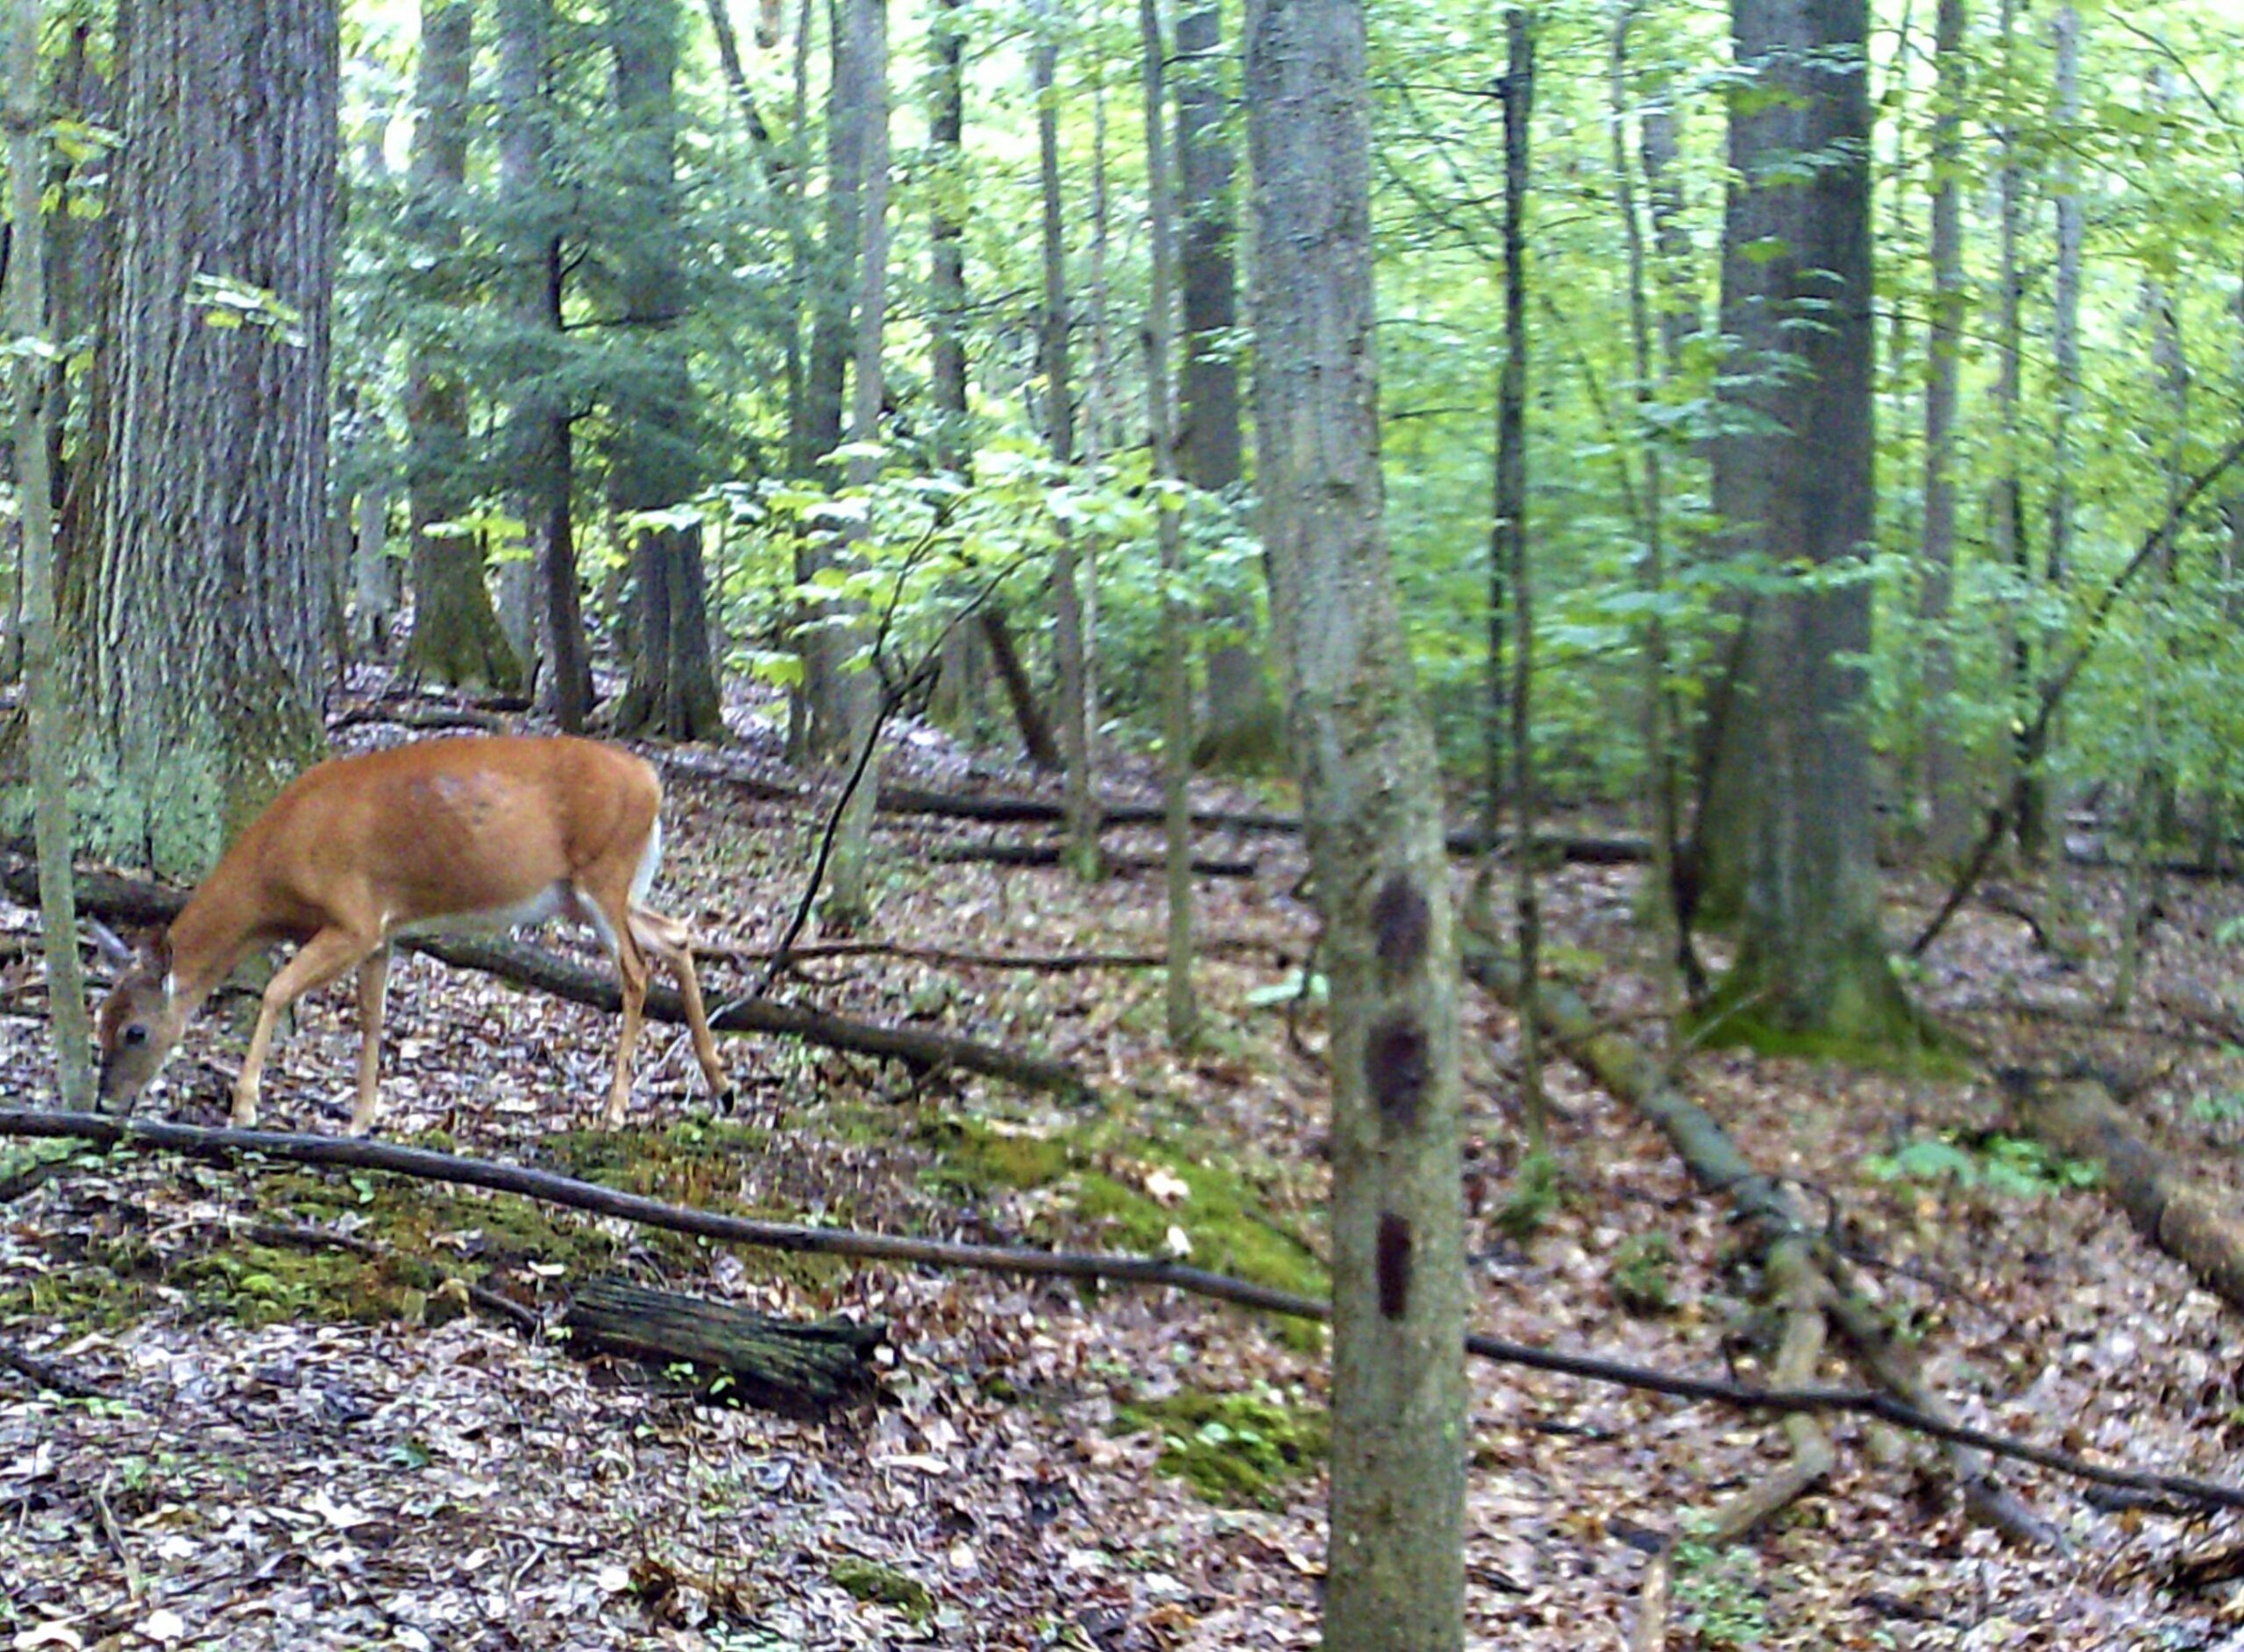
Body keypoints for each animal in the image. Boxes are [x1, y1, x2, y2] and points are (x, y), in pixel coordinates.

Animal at [92, 734, 733, 1135]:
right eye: (99, 1021)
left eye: (134, 1031)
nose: (105, 1102)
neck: (278, 870)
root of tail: (651, 779)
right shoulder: (384, 931)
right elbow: (373, 1017)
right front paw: (360, 1119)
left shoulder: (353, 916)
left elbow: (277, 989)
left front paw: (245, 1107)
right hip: (585, 892)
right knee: (677, 934)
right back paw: (719, 1085)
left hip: (603, 871)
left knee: (635, 970)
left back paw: (617, 1109)